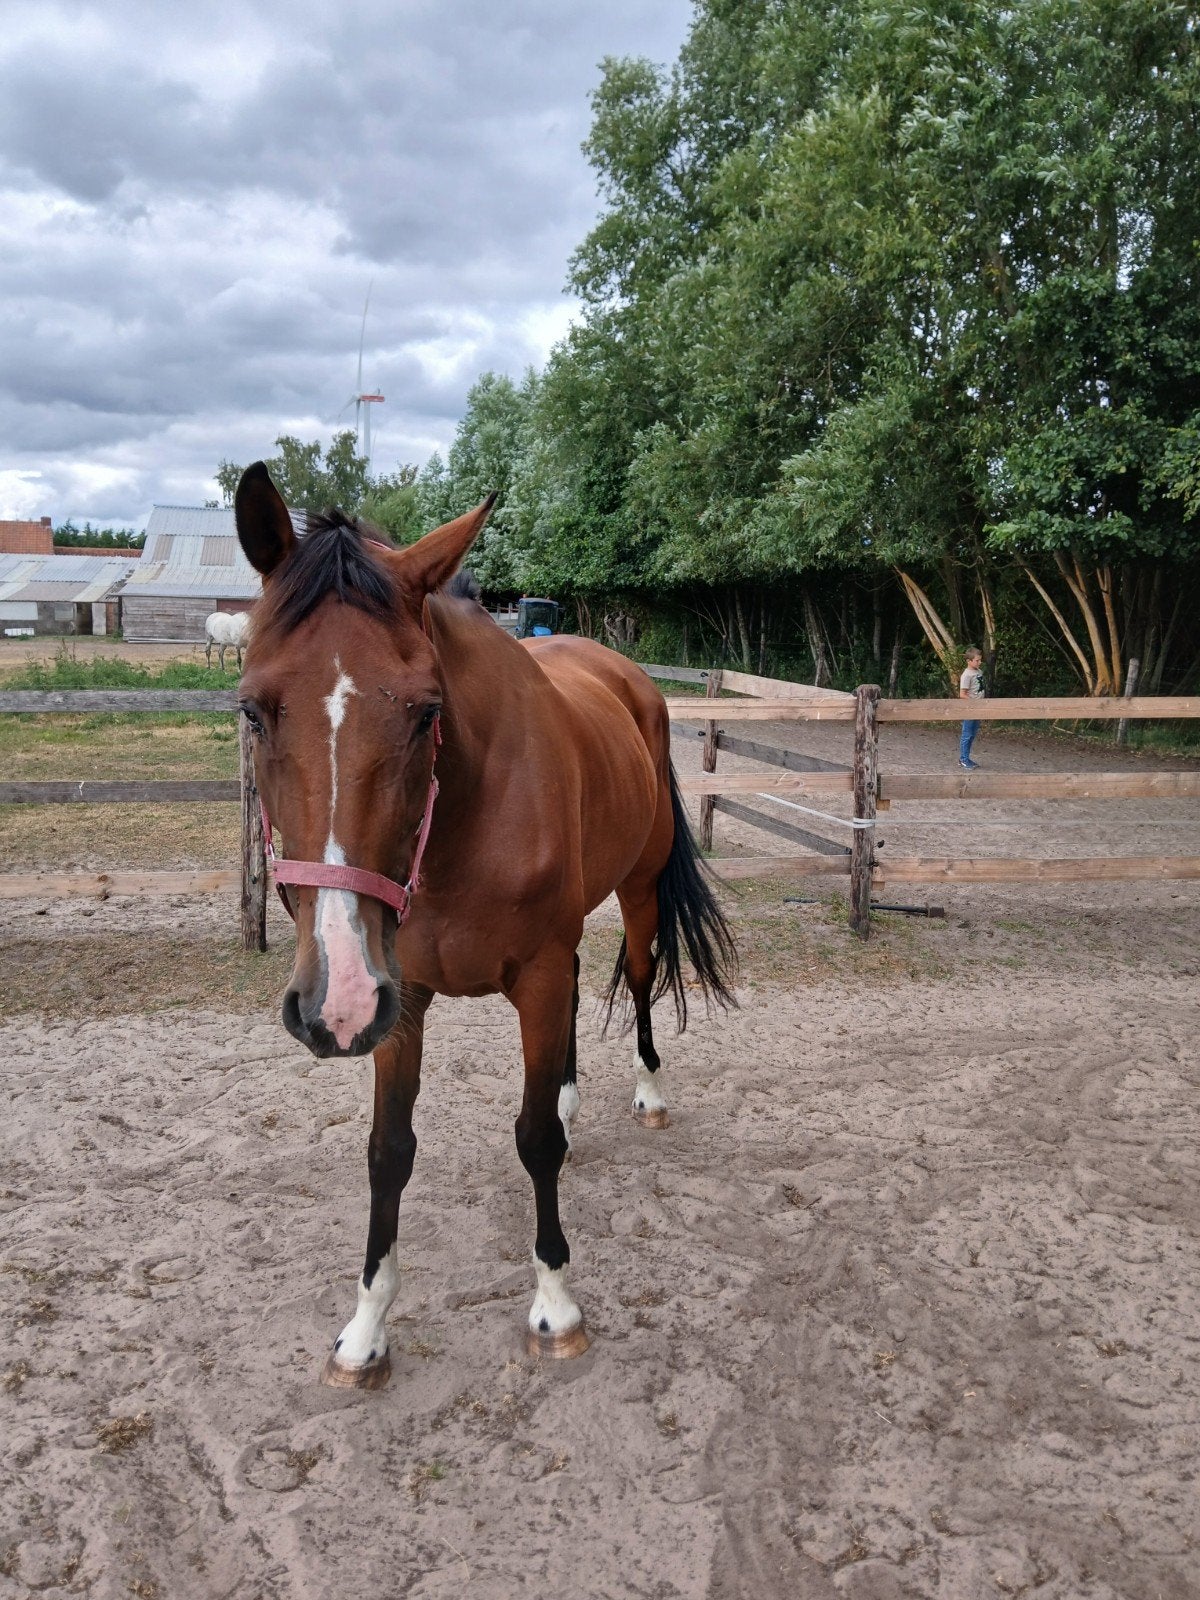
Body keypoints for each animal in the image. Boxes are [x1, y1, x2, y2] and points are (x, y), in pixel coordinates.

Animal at [233, 462, 737, 1388]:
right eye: (253, 709)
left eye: (426, 712)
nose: (335, 1002)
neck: (460, 819)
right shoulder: (401, 1001)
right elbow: (388, 1151)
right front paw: (365, 1330)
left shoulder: (526, 973)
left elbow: (533, 1141)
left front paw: (556, 1307)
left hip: (638, 890)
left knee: (639, 978)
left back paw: (647, 1091)